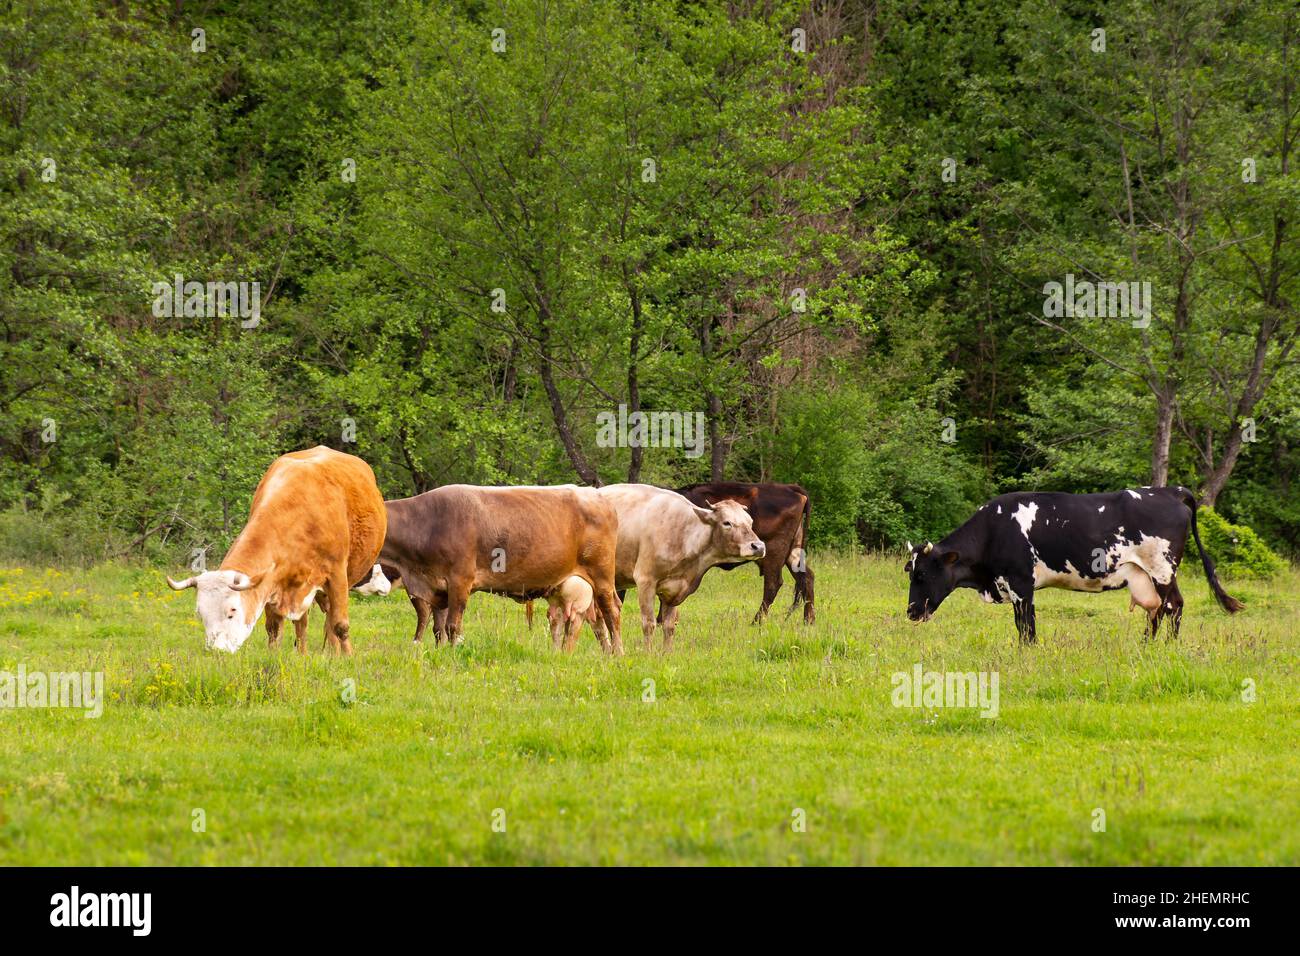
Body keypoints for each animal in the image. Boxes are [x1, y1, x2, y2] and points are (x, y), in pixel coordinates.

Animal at [166, 446, 387, 654]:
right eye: (201, 614)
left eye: (232, 610)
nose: (217, 651)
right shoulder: (272, 583)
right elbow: (274, 627)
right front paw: (274, 655)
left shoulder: (337, 575)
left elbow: (340, 624)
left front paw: (347, 656)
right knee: (303, 624)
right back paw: (305, 653)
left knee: (330, 621)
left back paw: (334, 652)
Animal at [376, 484, 622, 650]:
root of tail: (598, 496)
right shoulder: (436, 586)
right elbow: (438, 629)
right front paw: (439, 652)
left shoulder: (460, 580)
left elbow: (452, 626)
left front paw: (453, 653)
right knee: (596, 618)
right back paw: (606, 653)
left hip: (602, 576)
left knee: (612, 612)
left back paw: (617, 654)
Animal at [592, 484, 766, 651]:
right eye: (727, 523)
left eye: (750, 522)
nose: (758, 546)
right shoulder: (645, 580)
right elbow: (649, 624)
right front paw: (648, 654)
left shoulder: (675, 590)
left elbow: (669, 626)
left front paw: (667, 654)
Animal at [676, 482, 814, 624]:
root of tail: (790, 488)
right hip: (793, 552)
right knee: (807, 578)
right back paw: (809, 621)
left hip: (774, 552)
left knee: (773, 584)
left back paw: (756, 622)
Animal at [904, 486, 1243, 643]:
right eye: (910, 572)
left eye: (922, 573)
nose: (911, 611)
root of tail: (1170, 490)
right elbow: (1025, 624)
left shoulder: (1020, 583)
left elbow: (1025, 626)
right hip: (1149, 574)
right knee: (1162, 608)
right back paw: (1149, 645)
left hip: (1161, 568)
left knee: (1172, 606)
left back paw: (1161, 647)